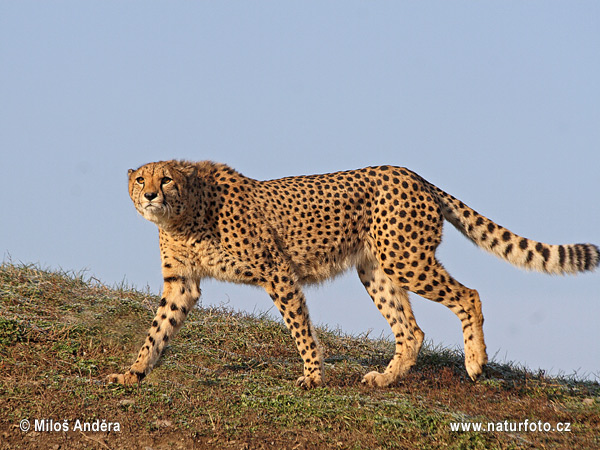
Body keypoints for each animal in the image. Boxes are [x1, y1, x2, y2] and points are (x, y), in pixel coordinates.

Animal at [108, 160, 600, 388]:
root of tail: (412, 173)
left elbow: (300, 326)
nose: (149, 194)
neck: (183, 215)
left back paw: (475, 363)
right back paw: (387, 377)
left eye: (166, 178)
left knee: (469, 295)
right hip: (376, 270)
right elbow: (158, 329)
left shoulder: (276, 270)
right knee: (412, 330)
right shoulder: (182, 284)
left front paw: (312, 375)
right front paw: (133, 372)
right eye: (141, 180)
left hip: (407, 260)